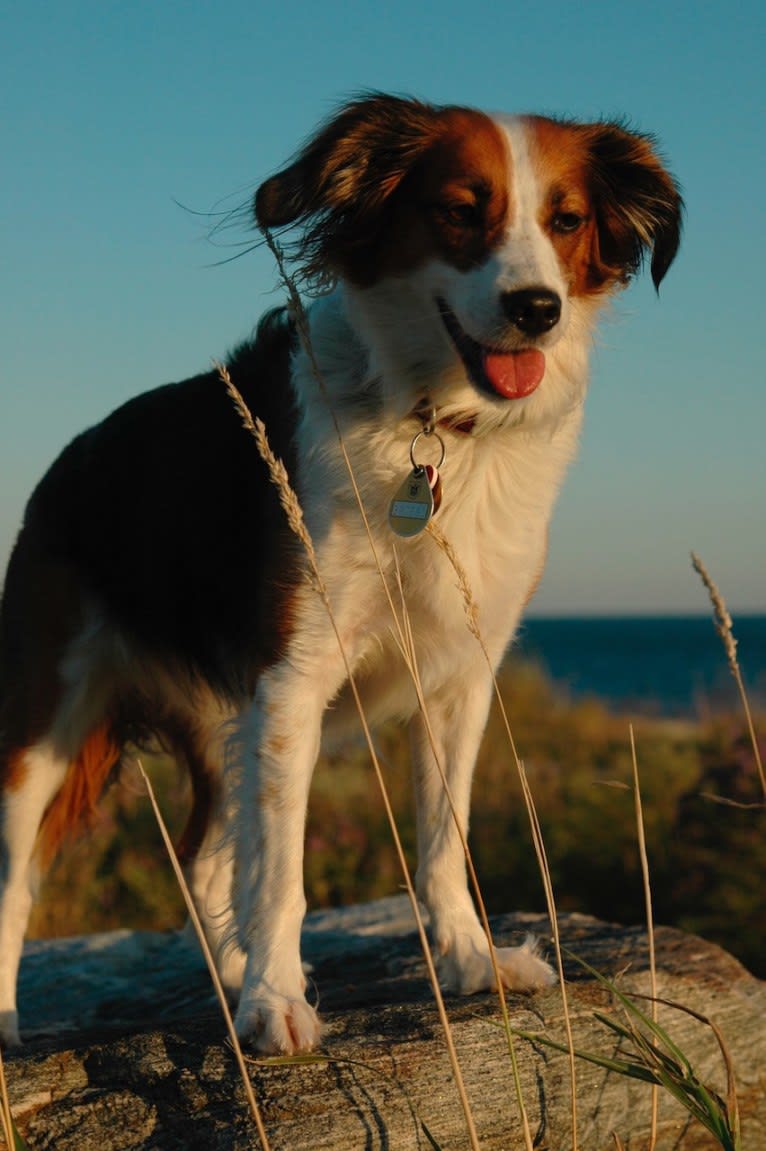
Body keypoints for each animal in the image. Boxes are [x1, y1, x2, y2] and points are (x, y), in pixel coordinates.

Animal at [0, 92, 680, 1054]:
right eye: (460, 210)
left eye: (567, 220)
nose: (537, 308)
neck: (430, 419)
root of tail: (65, 464)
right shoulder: (294, 680)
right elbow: (284, 877)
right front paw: (276, 1002)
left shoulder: (456, 680)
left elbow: (440, 845)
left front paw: (468, 960)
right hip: (42, 727)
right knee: (18, 883)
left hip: (226, 722)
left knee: (206, 864)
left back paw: (233, 975)